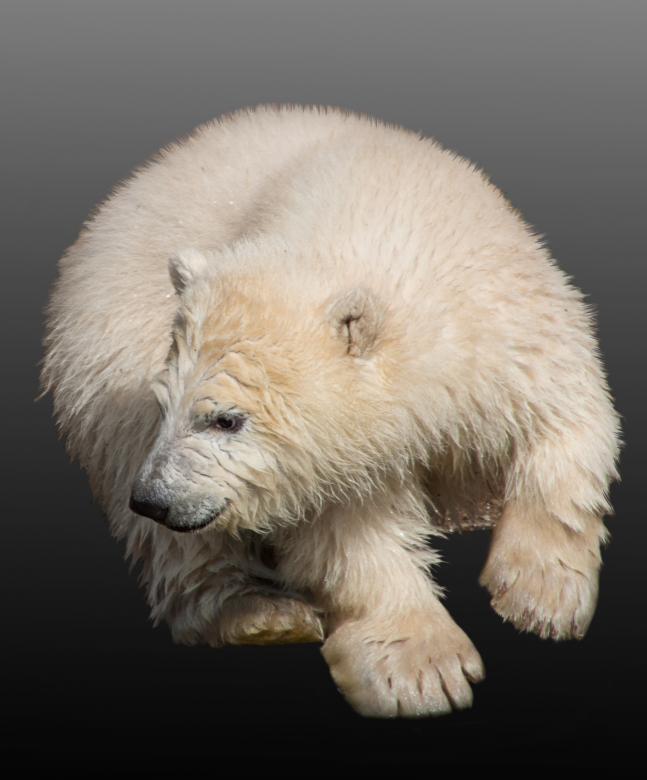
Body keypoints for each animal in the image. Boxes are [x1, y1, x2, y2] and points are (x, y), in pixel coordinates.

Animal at [38, 103, 622, 718]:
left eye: (226, 419)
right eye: (166, 405)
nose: (152, 498)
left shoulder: (510, 323)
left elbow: (569, 424)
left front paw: (543, 596)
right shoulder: (317, 462)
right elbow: (347, 534)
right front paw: (422, 671)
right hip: (110, 351)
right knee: (176, 539)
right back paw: (262, 615)